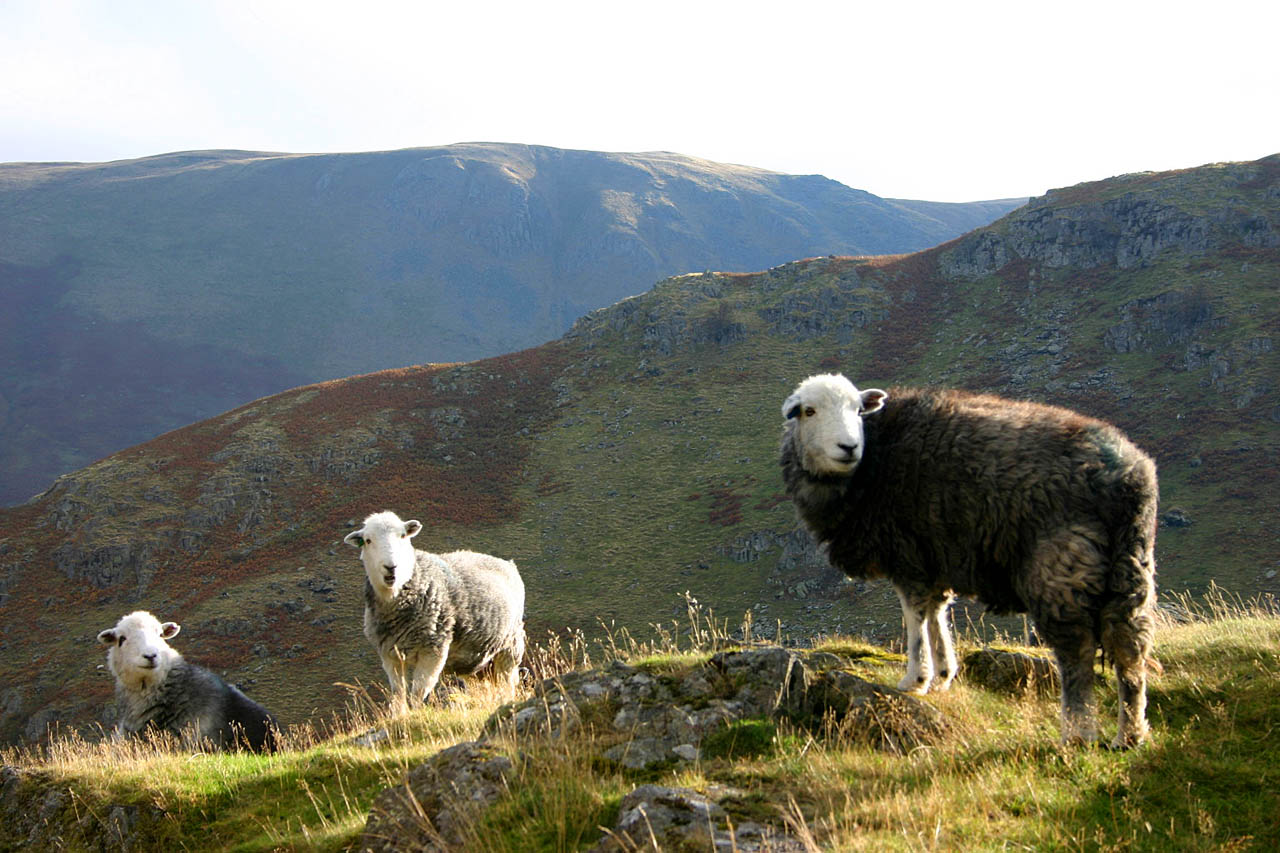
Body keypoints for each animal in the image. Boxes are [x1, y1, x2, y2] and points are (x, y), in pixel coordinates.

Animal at [343, 507, 527, 706]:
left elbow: (417, 692)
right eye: (368, 540)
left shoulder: (433, 649)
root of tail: (507, 563)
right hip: (476, 661)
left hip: (510, 646)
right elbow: (398, 694)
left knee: (507, 684)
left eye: (403, 535)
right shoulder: (390, 655)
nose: (391, 567)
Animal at [778, 371, 1162, 742]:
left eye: (859, 410)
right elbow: (936, 613)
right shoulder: (935, 556)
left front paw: (916, 679)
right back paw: (1130, 733)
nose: (849, 447)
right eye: (809, 411)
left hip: (1061, 563)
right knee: (1130, 650)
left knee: (1077, 650)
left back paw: (1077, 732)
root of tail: (1126, 475)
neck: (871, 462)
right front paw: (944, 674)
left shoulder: (907, 554)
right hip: (1130, 564)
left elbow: (915, 617)